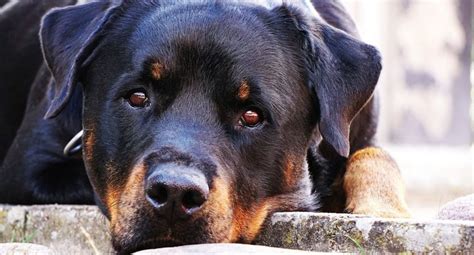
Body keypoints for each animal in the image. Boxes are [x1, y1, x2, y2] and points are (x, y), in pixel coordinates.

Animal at [0, 0, 410, 253]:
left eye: (252, 115)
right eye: (137, 96)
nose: (175, 194)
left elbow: (376, 157)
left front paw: (384, 209)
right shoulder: (29, 171)